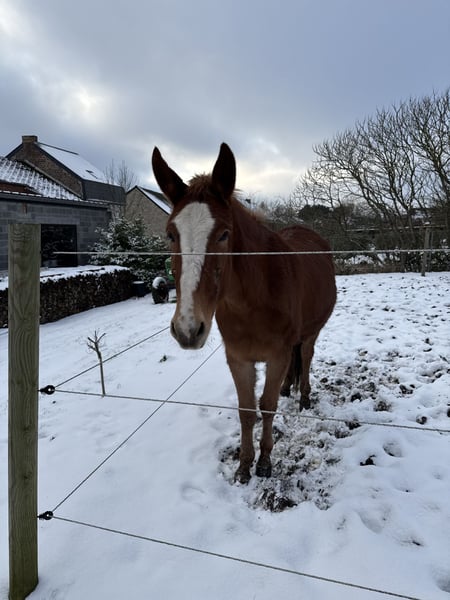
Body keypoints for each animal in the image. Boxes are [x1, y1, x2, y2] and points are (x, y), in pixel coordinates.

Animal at [152, 143, 336, 483]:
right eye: (171, 234)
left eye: (224, 234)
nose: (187, 329)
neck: (254, 302)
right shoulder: (238, 358)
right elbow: (247, 410)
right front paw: (244, 465)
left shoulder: (276, 356)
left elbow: (267, 405)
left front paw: (264, 461)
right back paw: (289, 387)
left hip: (312, 331)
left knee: (305, 355)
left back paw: (303, 396)